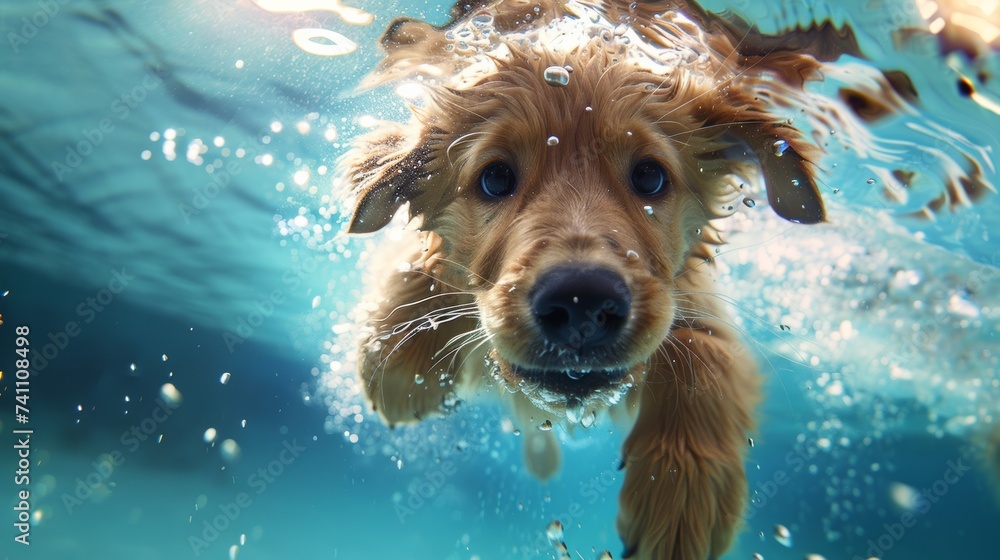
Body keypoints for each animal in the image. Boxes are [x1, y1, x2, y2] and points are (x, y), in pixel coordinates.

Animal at [340, 0, 988, 556]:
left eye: (650, 177)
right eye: (495, 179)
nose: (581, 302)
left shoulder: (691, 292)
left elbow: (701, 347)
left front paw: (684, 492)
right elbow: (419, 269)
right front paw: (398, 356)